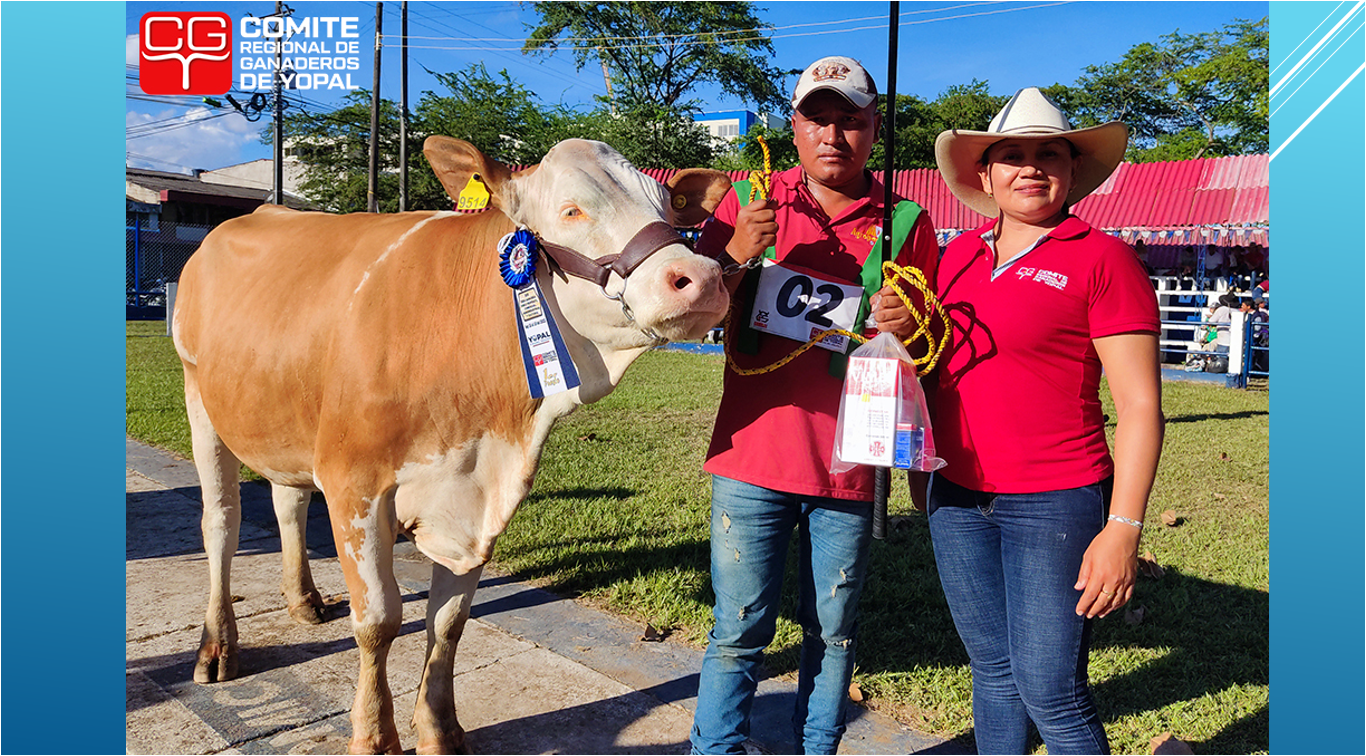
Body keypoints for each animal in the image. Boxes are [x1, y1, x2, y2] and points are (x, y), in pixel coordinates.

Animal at [173, 137, 737, 754]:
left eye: (670, 213)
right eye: (571, 210)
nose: (702, 276)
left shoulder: (476, 495)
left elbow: (447, 624)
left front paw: (440, 731)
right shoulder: (353, 483)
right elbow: (379, 621)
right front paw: (374, 736)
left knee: (288, 500)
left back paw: (304, 600)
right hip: (199, 396)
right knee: (221, 523)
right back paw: (216, 647)